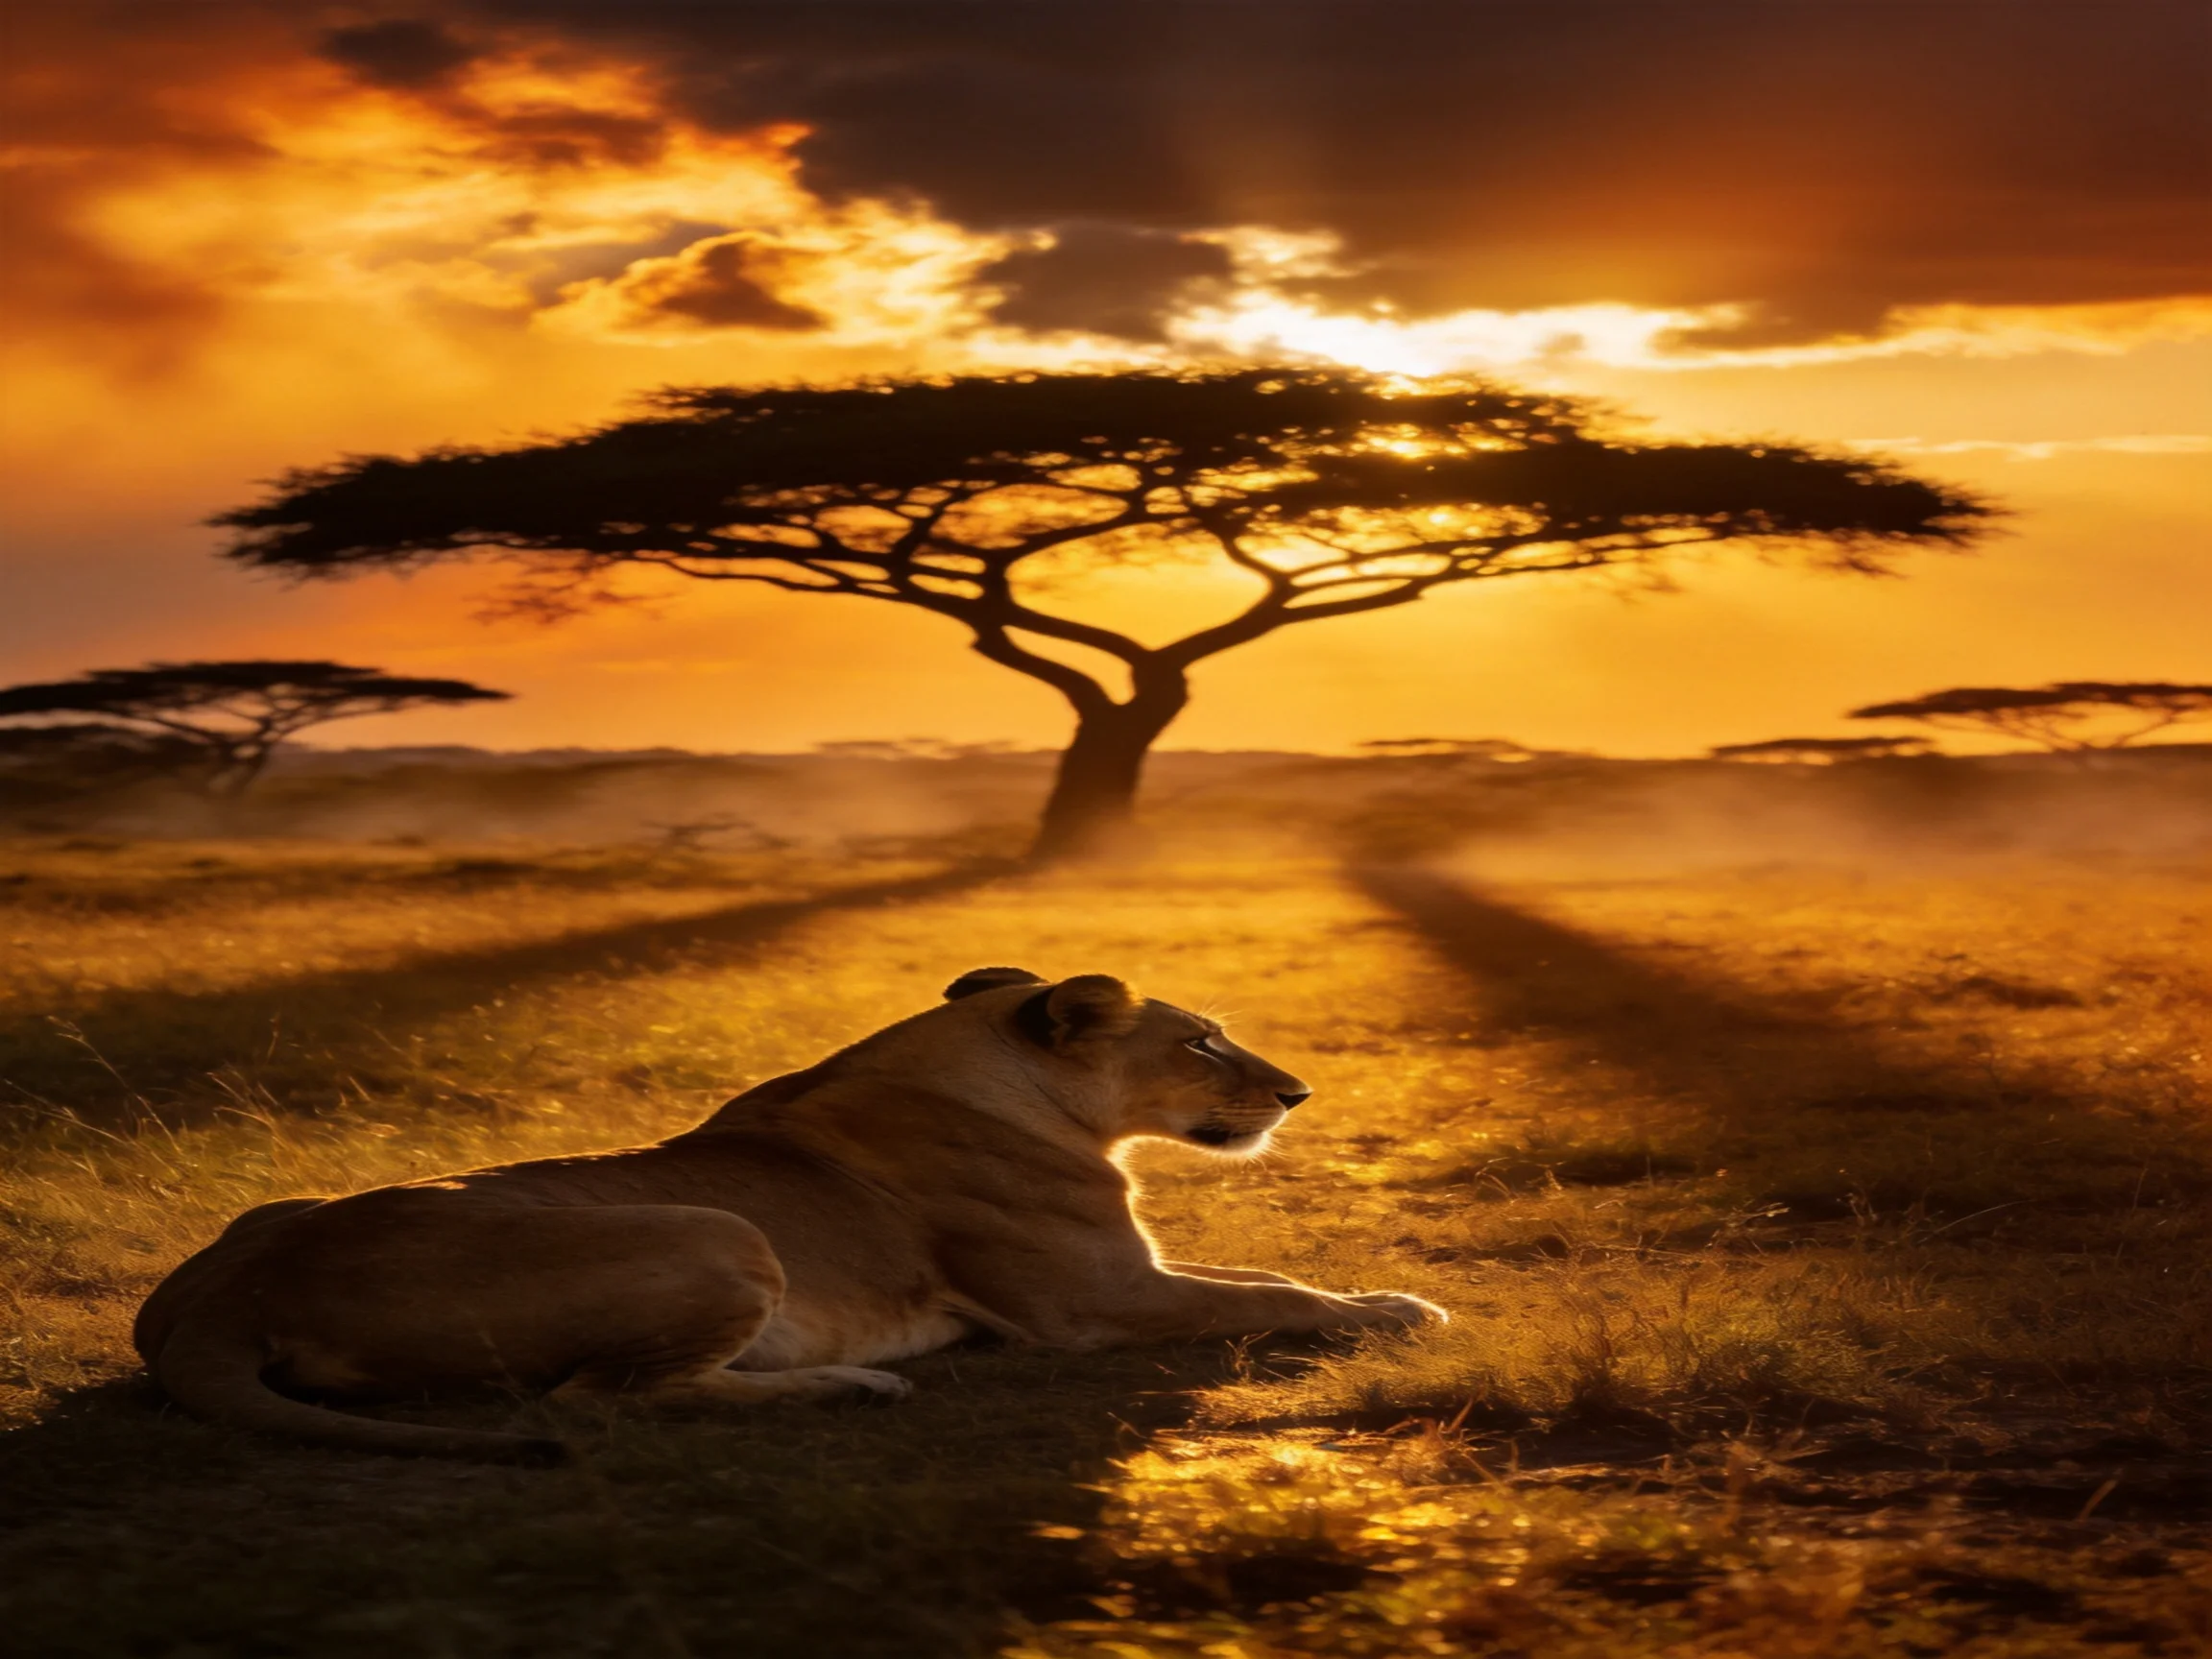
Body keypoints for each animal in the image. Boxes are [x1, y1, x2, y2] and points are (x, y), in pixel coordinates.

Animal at [134, 967, 1446, 1461]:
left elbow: (1261, 1277)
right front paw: (1402, 1308)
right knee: (596, 1403)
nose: (1298, 1092)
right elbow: (1280, 1292)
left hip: (271, 1209)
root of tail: (233, 1294)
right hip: (718, 1232)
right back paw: (856, 1384)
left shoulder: (1122, 1281)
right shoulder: (1093, 1303)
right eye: (1204, 1042)